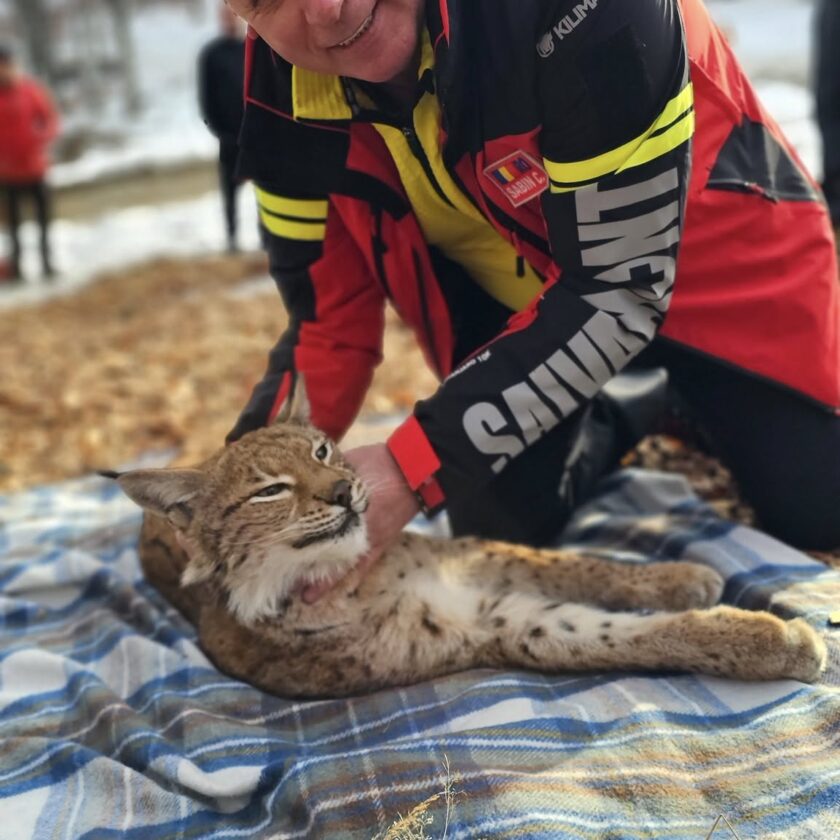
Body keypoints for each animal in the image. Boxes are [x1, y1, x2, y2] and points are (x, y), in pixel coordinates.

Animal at [109, 383, 827, 699]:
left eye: (322, 450)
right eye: (270, 492)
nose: (344, 490)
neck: (343, 577)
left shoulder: (470, 555)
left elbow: (579, 567)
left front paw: (674, 580)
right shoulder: (495, 624)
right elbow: (617, 634)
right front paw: (776, 642)